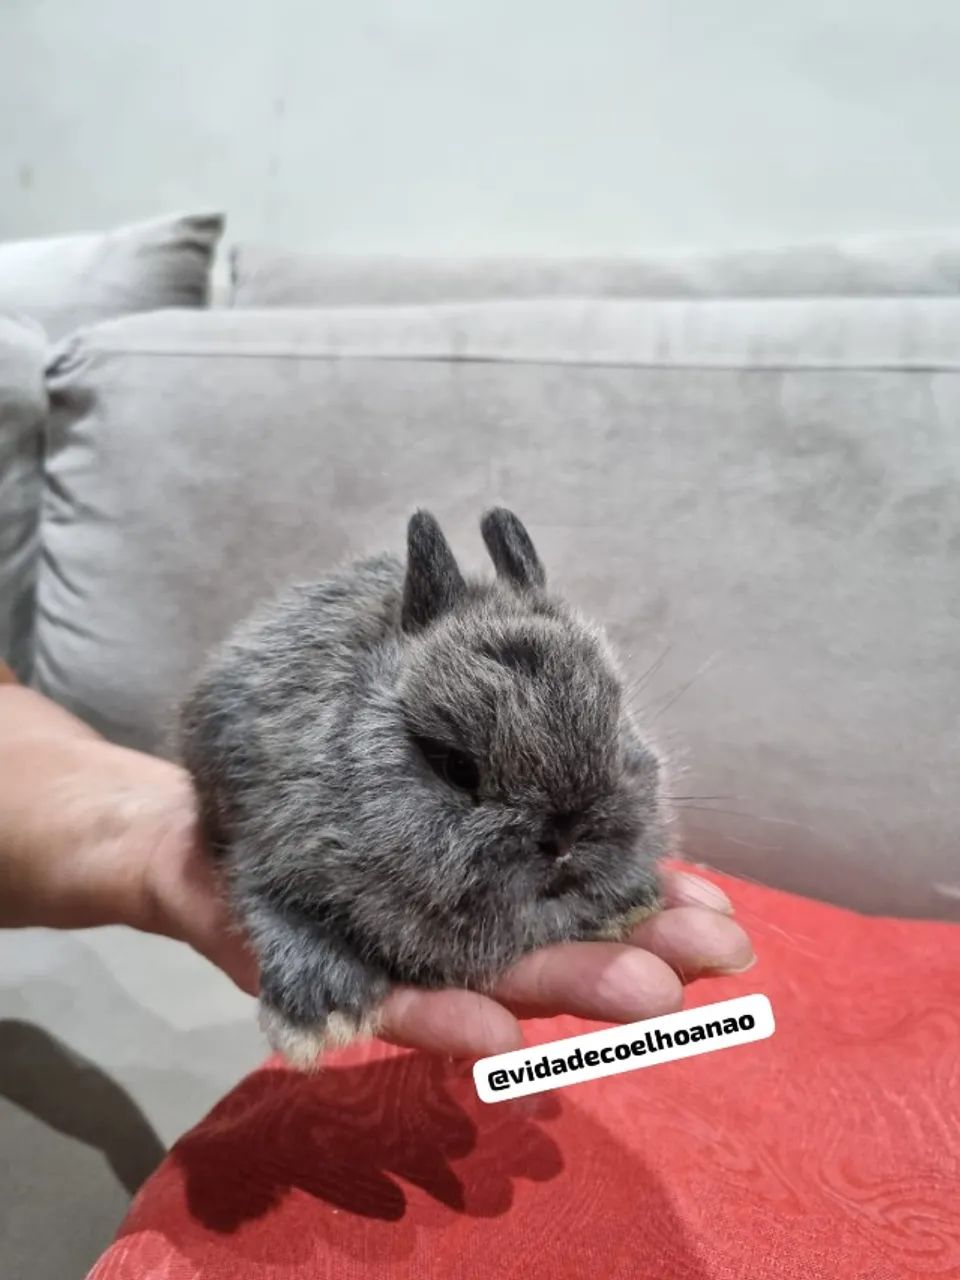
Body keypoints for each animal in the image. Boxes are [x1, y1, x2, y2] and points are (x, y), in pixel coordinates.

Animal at [179, 508, 667, 1068]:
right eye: (457, 767)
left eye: (614, 729)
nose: (564, 839)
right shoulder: (263, 838)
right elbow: (272, 910)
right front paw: (325, 1020)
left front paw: (631, 904)